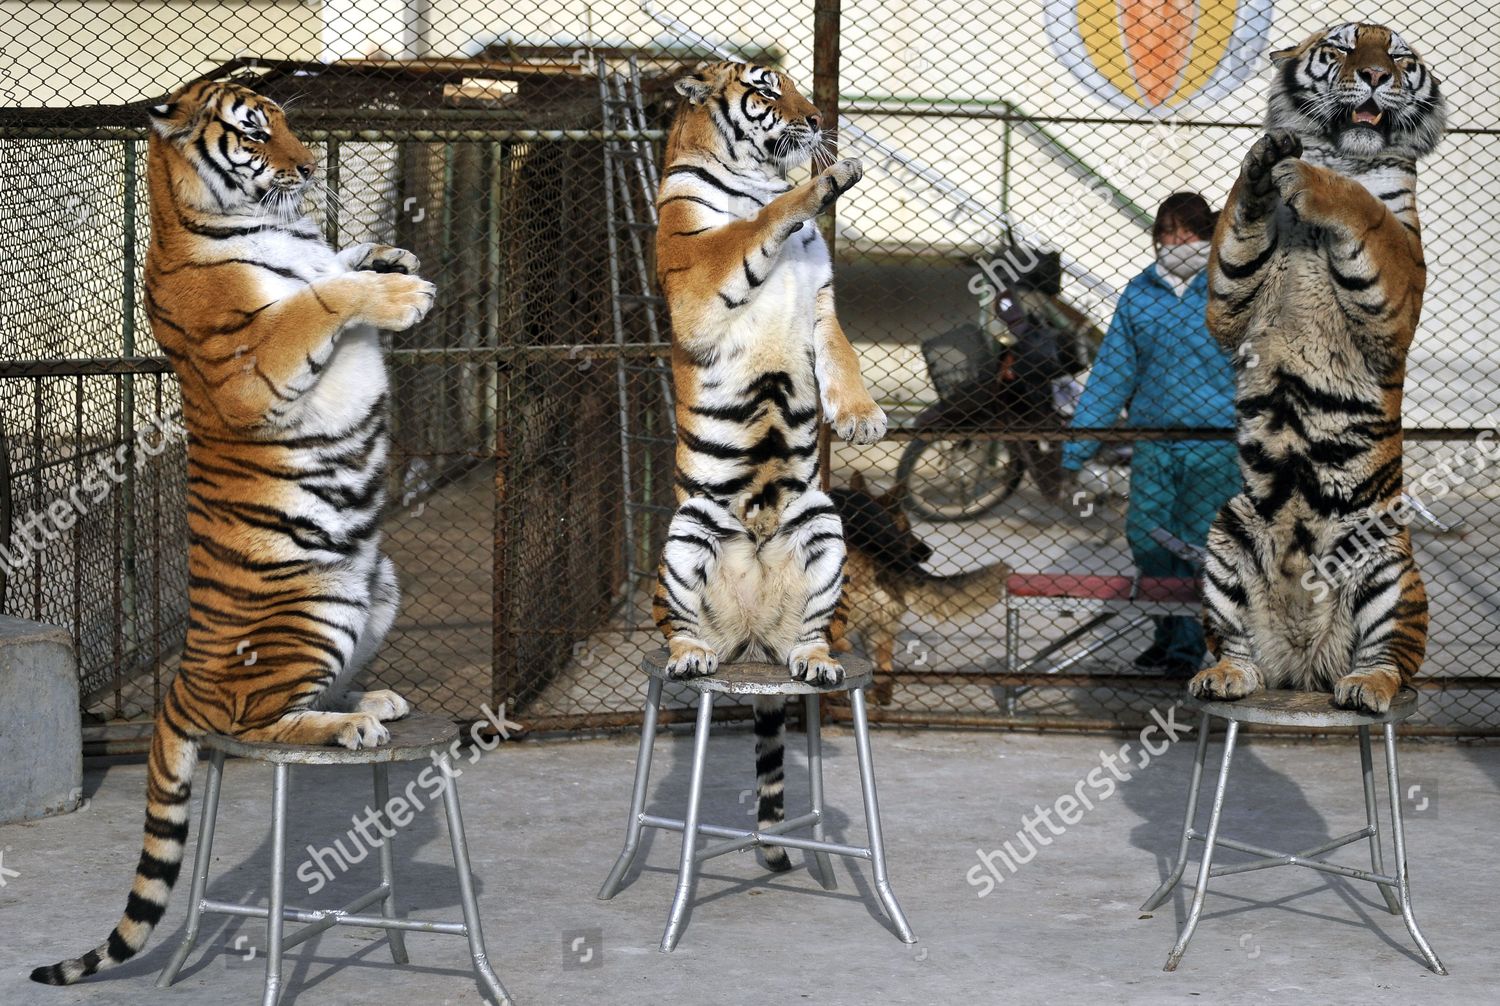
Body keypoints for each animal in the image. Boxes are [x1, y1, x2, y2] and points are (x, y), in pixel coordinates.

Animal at [30, 80, 435, 989]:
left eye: (287, 121)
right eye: (255, 133)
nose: (311, 165)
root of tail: (180, 680)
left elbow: (339, 263)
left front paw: (389, 254)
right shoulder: (254, 359)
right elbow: (318, 298)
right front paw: (396, 294)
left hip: (380, 584)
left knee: (293, 703)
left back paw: (371, 700)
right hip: (313, 613)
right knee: (253, 725)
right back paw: (348, 725)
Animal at [651, 59, 882, 869]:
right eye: (767, 88)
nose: (816, 119)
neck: (753, 174)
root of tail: (749, 633)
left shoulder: (822, 297)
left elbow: (841, 351)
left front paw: (862, 416)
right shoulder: (697, 267)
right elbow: (757, 225)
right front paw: (827, 178)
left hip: (823, 529)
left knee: (806, 636)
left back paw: (814, 661)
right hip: (686, 532)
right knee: (681, 630)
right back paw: (691, 655)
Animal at [1188, 23, 1446, 716]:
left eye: (1400, 57)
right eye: (1343, 46)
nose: (1377, 76)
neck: (1343, 154)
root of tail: (1308, 665)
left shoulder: (1401, 287)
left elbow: (1364, 210)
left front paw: (1308, 178)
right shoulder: (1229, 308)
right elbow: (1238, 229)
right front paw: (1264, 161)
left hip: (1387, 564)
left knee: (1393, 659)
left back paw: (1366, 687)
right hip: (1230, 527)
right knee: (1234, 644)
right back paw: (1223, 675)